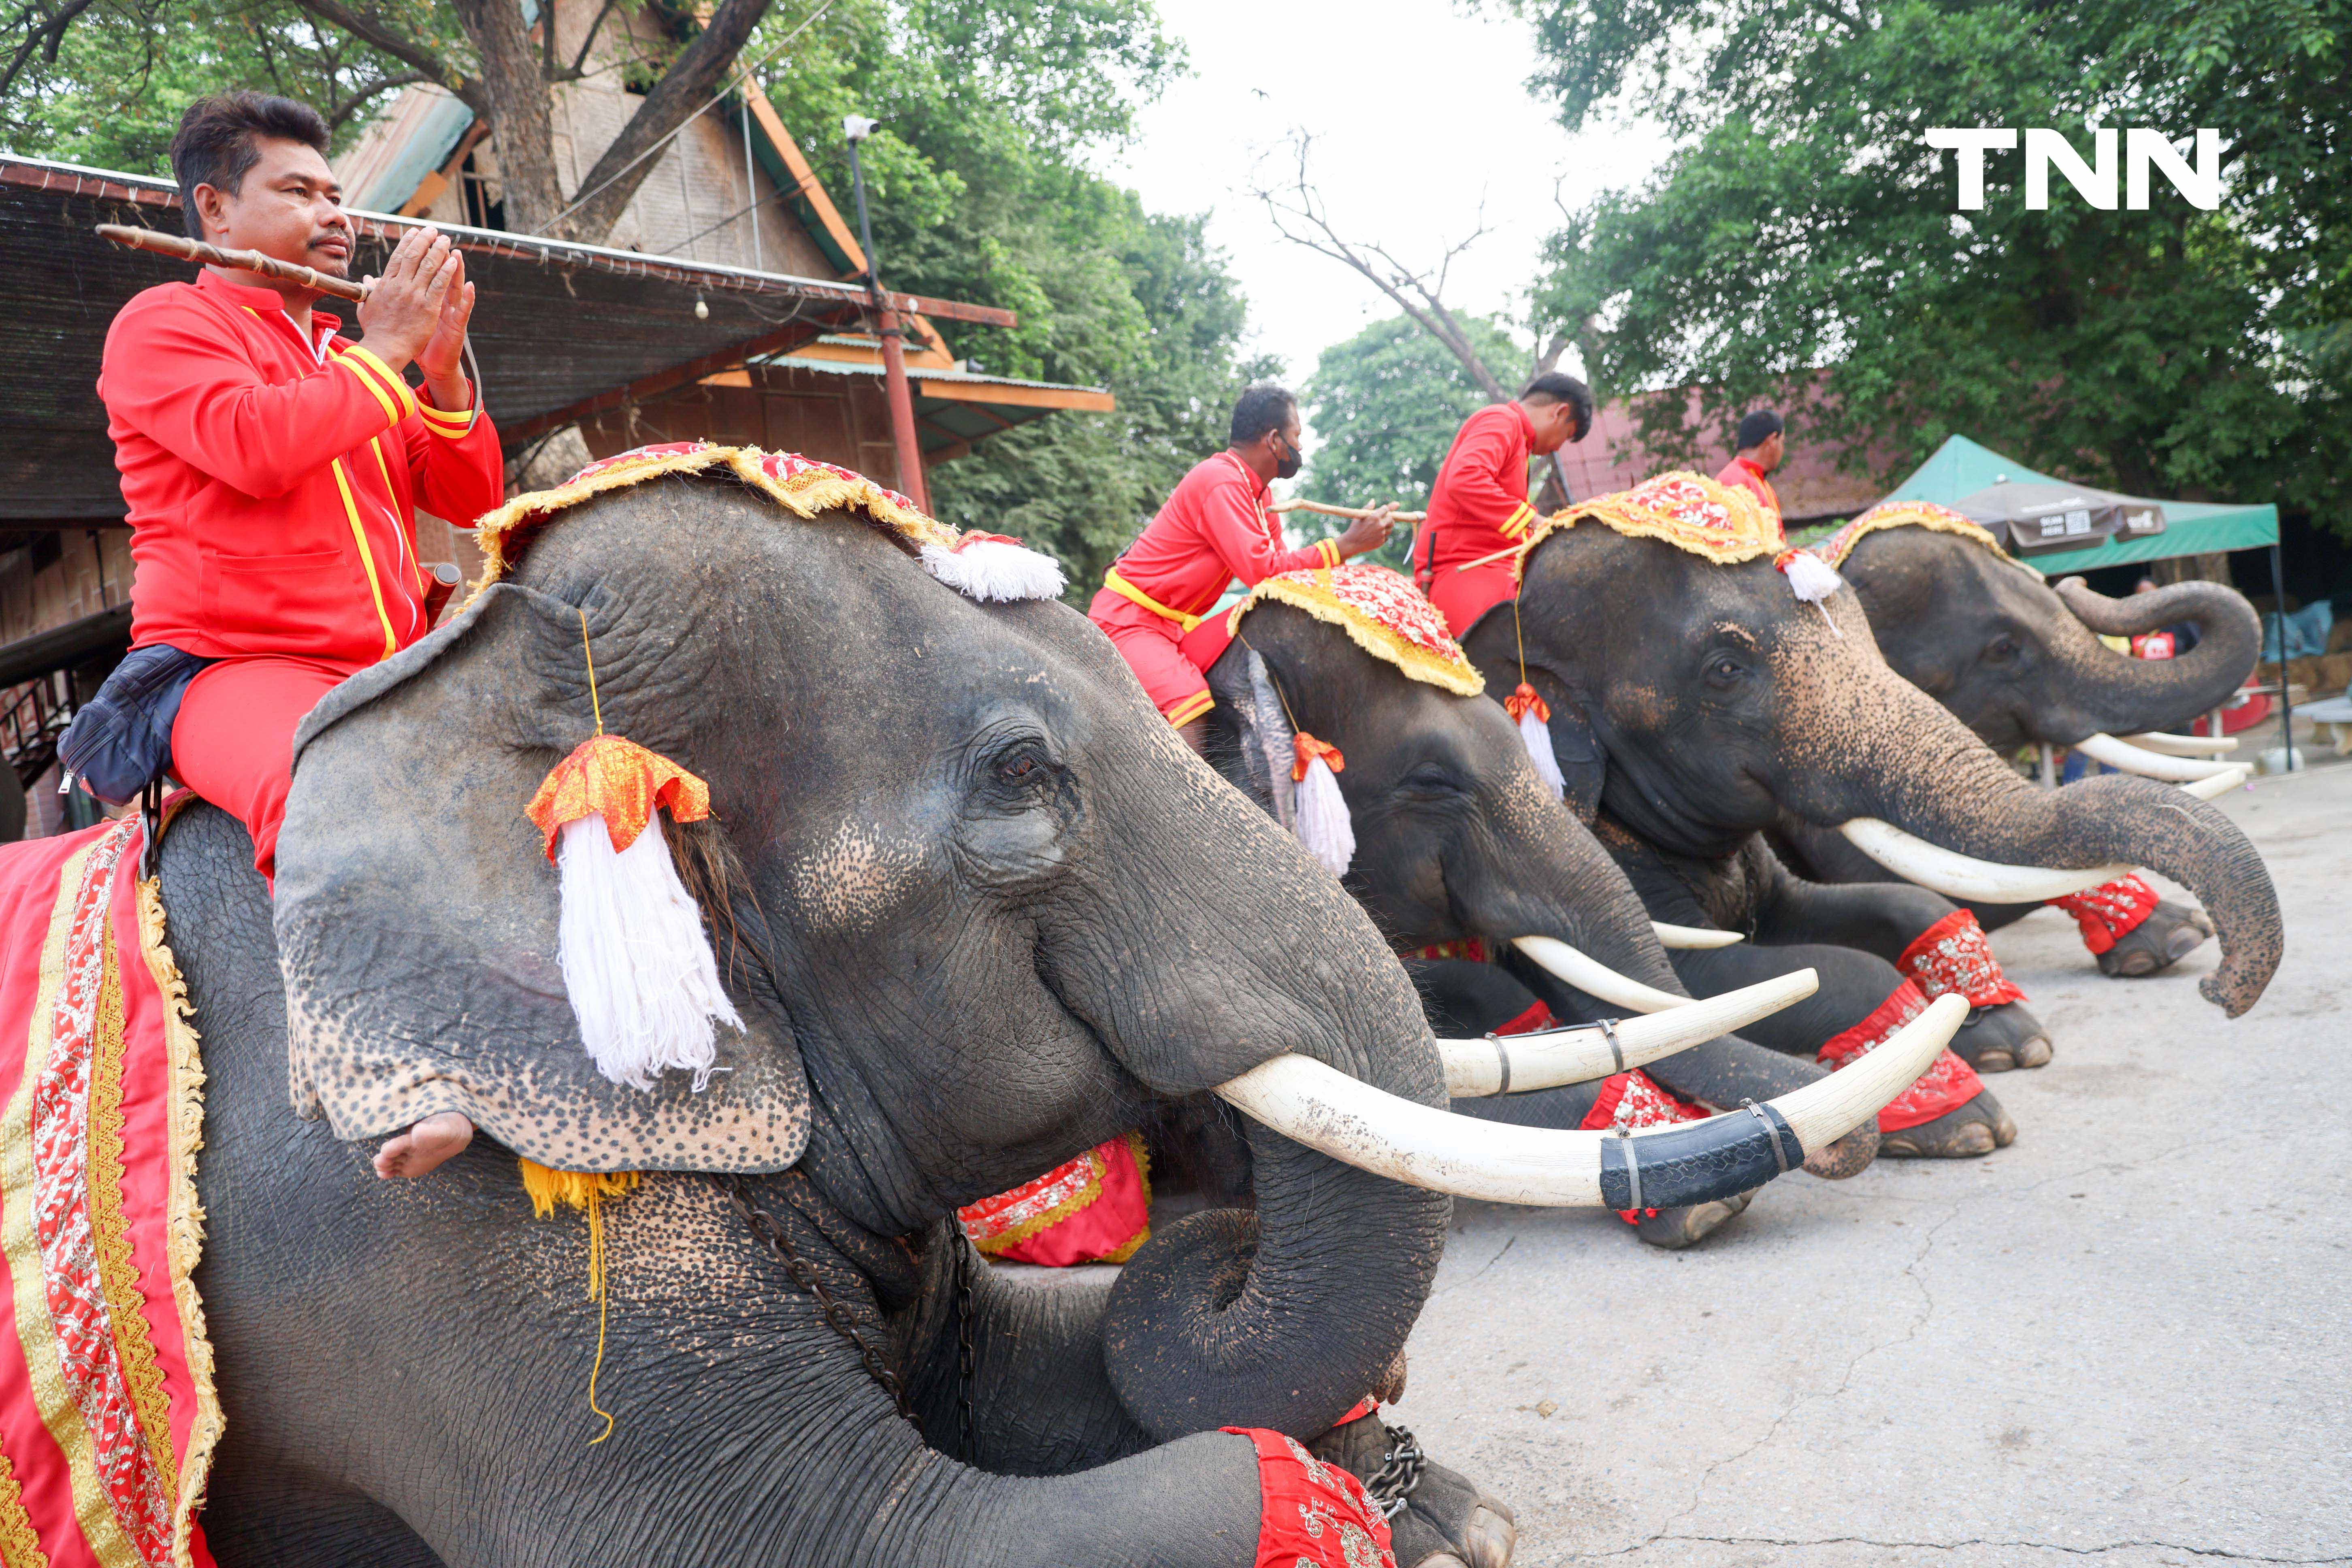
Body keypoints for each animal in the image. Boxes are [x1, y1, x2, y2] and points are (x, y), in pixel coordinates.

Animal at [170, 470, 1928, 1568]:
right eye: (1022, 777)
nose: (1214, 1245)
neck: (453, 671)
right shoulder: (419, 1233)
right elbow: (917, 1524)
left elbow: (1043, 1363)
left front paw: (1431, 1505)